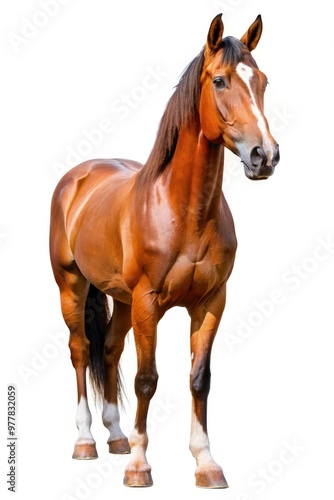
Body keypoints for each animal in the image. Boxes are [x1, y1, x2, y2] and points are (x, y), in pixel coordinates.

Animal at [49, 12, 280, 488]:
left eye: (263, 81)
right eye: (220, 81)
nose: (264, 156)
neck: (181, 210)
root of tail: (78, 177)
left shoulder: (211, 302)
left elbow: (199, 379)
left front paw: (206, 463)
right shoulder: (148, 303)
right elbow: (146, 380)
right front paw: (140, 466)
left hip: (119, 298)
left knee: (108, 349)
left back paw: (117, 436)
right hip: (71, 286)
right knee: (80, 350)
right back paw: (85, 441)